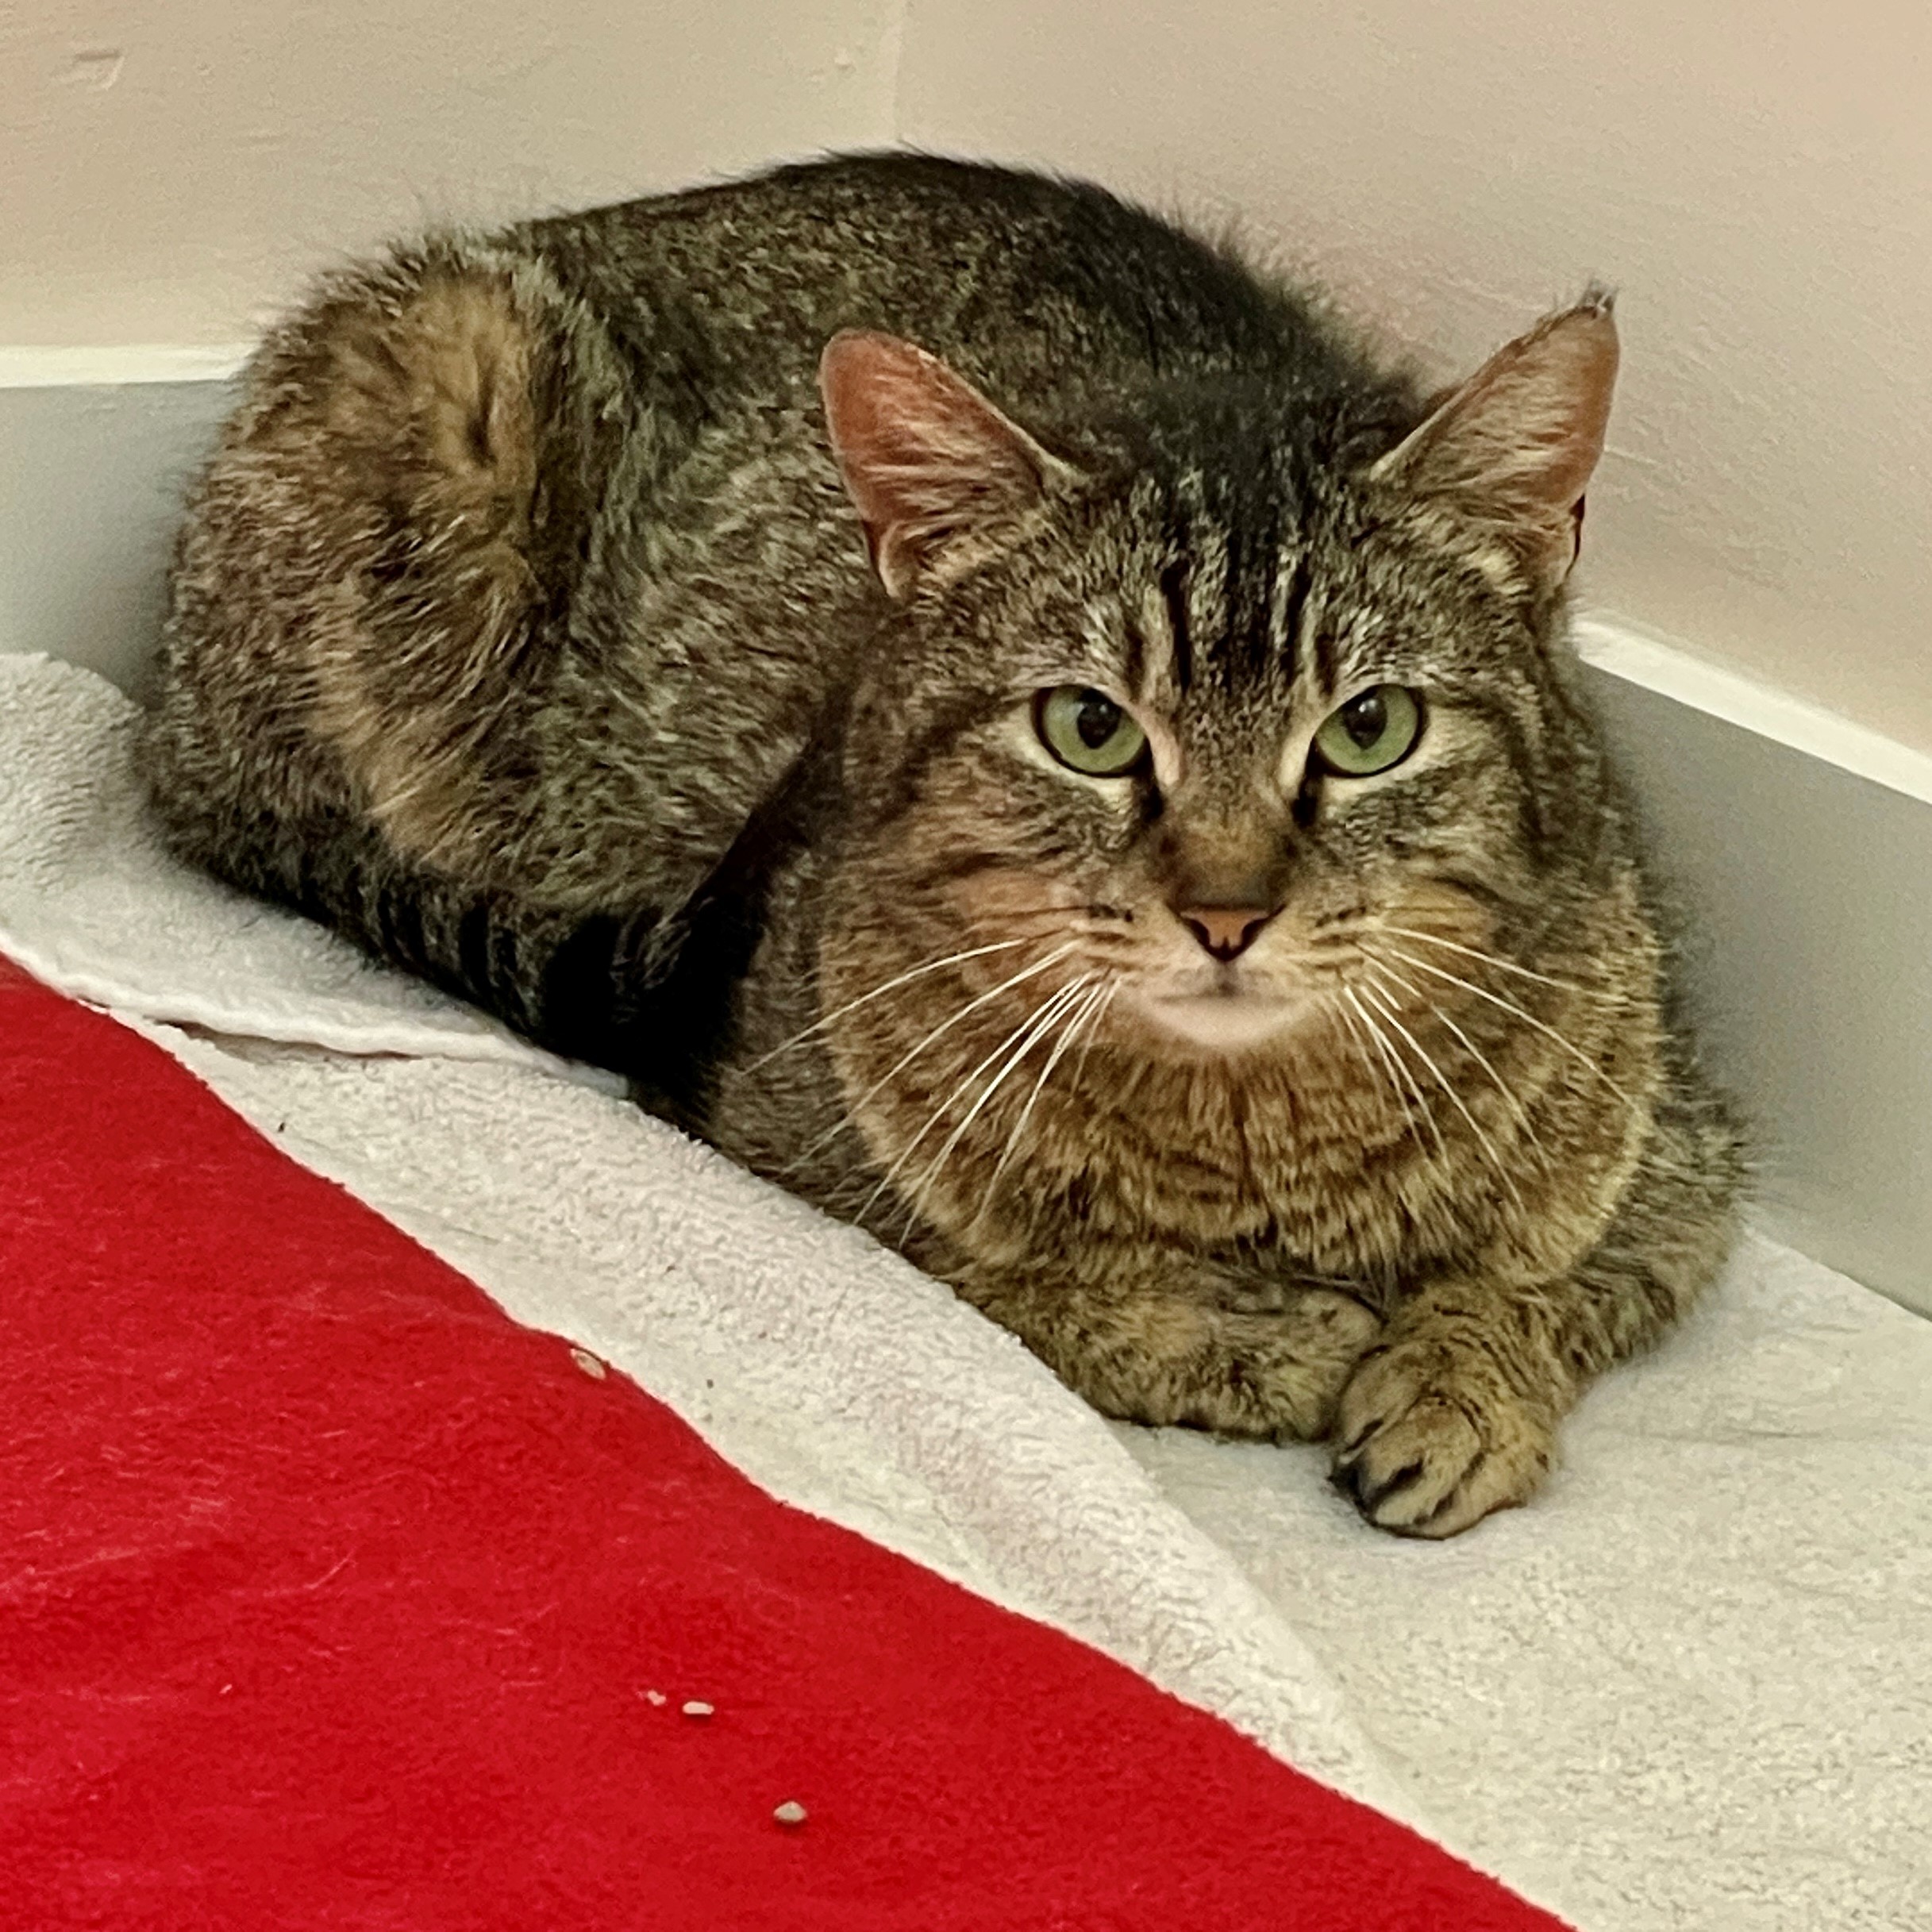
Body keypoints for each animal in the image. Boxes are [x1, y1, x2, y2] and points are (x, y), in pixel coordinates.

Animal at [146, 150, 1754, 1538]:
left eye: (1368, 728)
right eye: (1088, 727)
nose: (1226, 910)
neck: (1246, 1155)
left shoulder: (1676, 1160)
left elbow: (1545, 1278)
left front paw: (1456, 1382)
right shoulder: (761, 1118)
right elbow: (1004, 1277)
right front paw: (1247, 1335)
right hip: (453, 383)